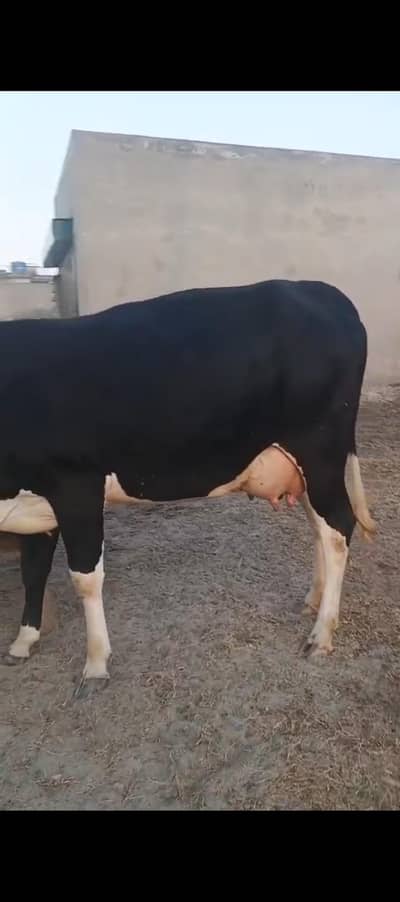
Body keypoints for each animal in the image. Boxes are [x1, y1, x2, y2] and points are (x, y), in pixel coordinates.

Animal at [0, 278, 375, 696]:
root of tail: (319, 290)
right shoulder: (35, 504)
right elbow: (33, 571)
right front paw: (23, 641)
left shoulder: (76, 486)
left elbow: (85, 578)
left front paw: (95, 663)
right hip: (308, 465)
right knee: (319, 527)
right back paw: (313, 600)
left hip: (321, 450)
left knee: (338, 528)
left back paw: (321, 633)